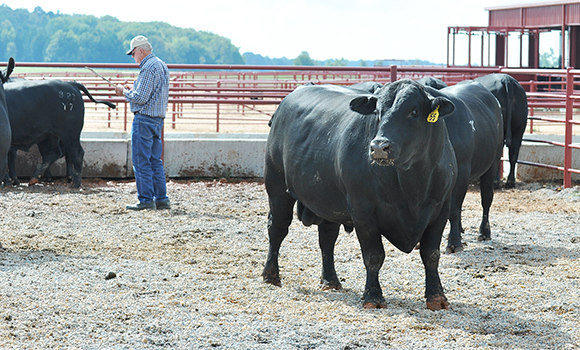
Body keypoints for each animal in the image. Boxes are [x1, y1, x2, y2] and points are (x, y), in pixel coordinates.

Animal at [428, 80, 506, 253]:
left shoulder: (462, 171)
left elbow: (453, 210)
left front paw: (454, 243)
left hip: (493, 162)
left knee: (486, 198)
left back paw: (484, 232)